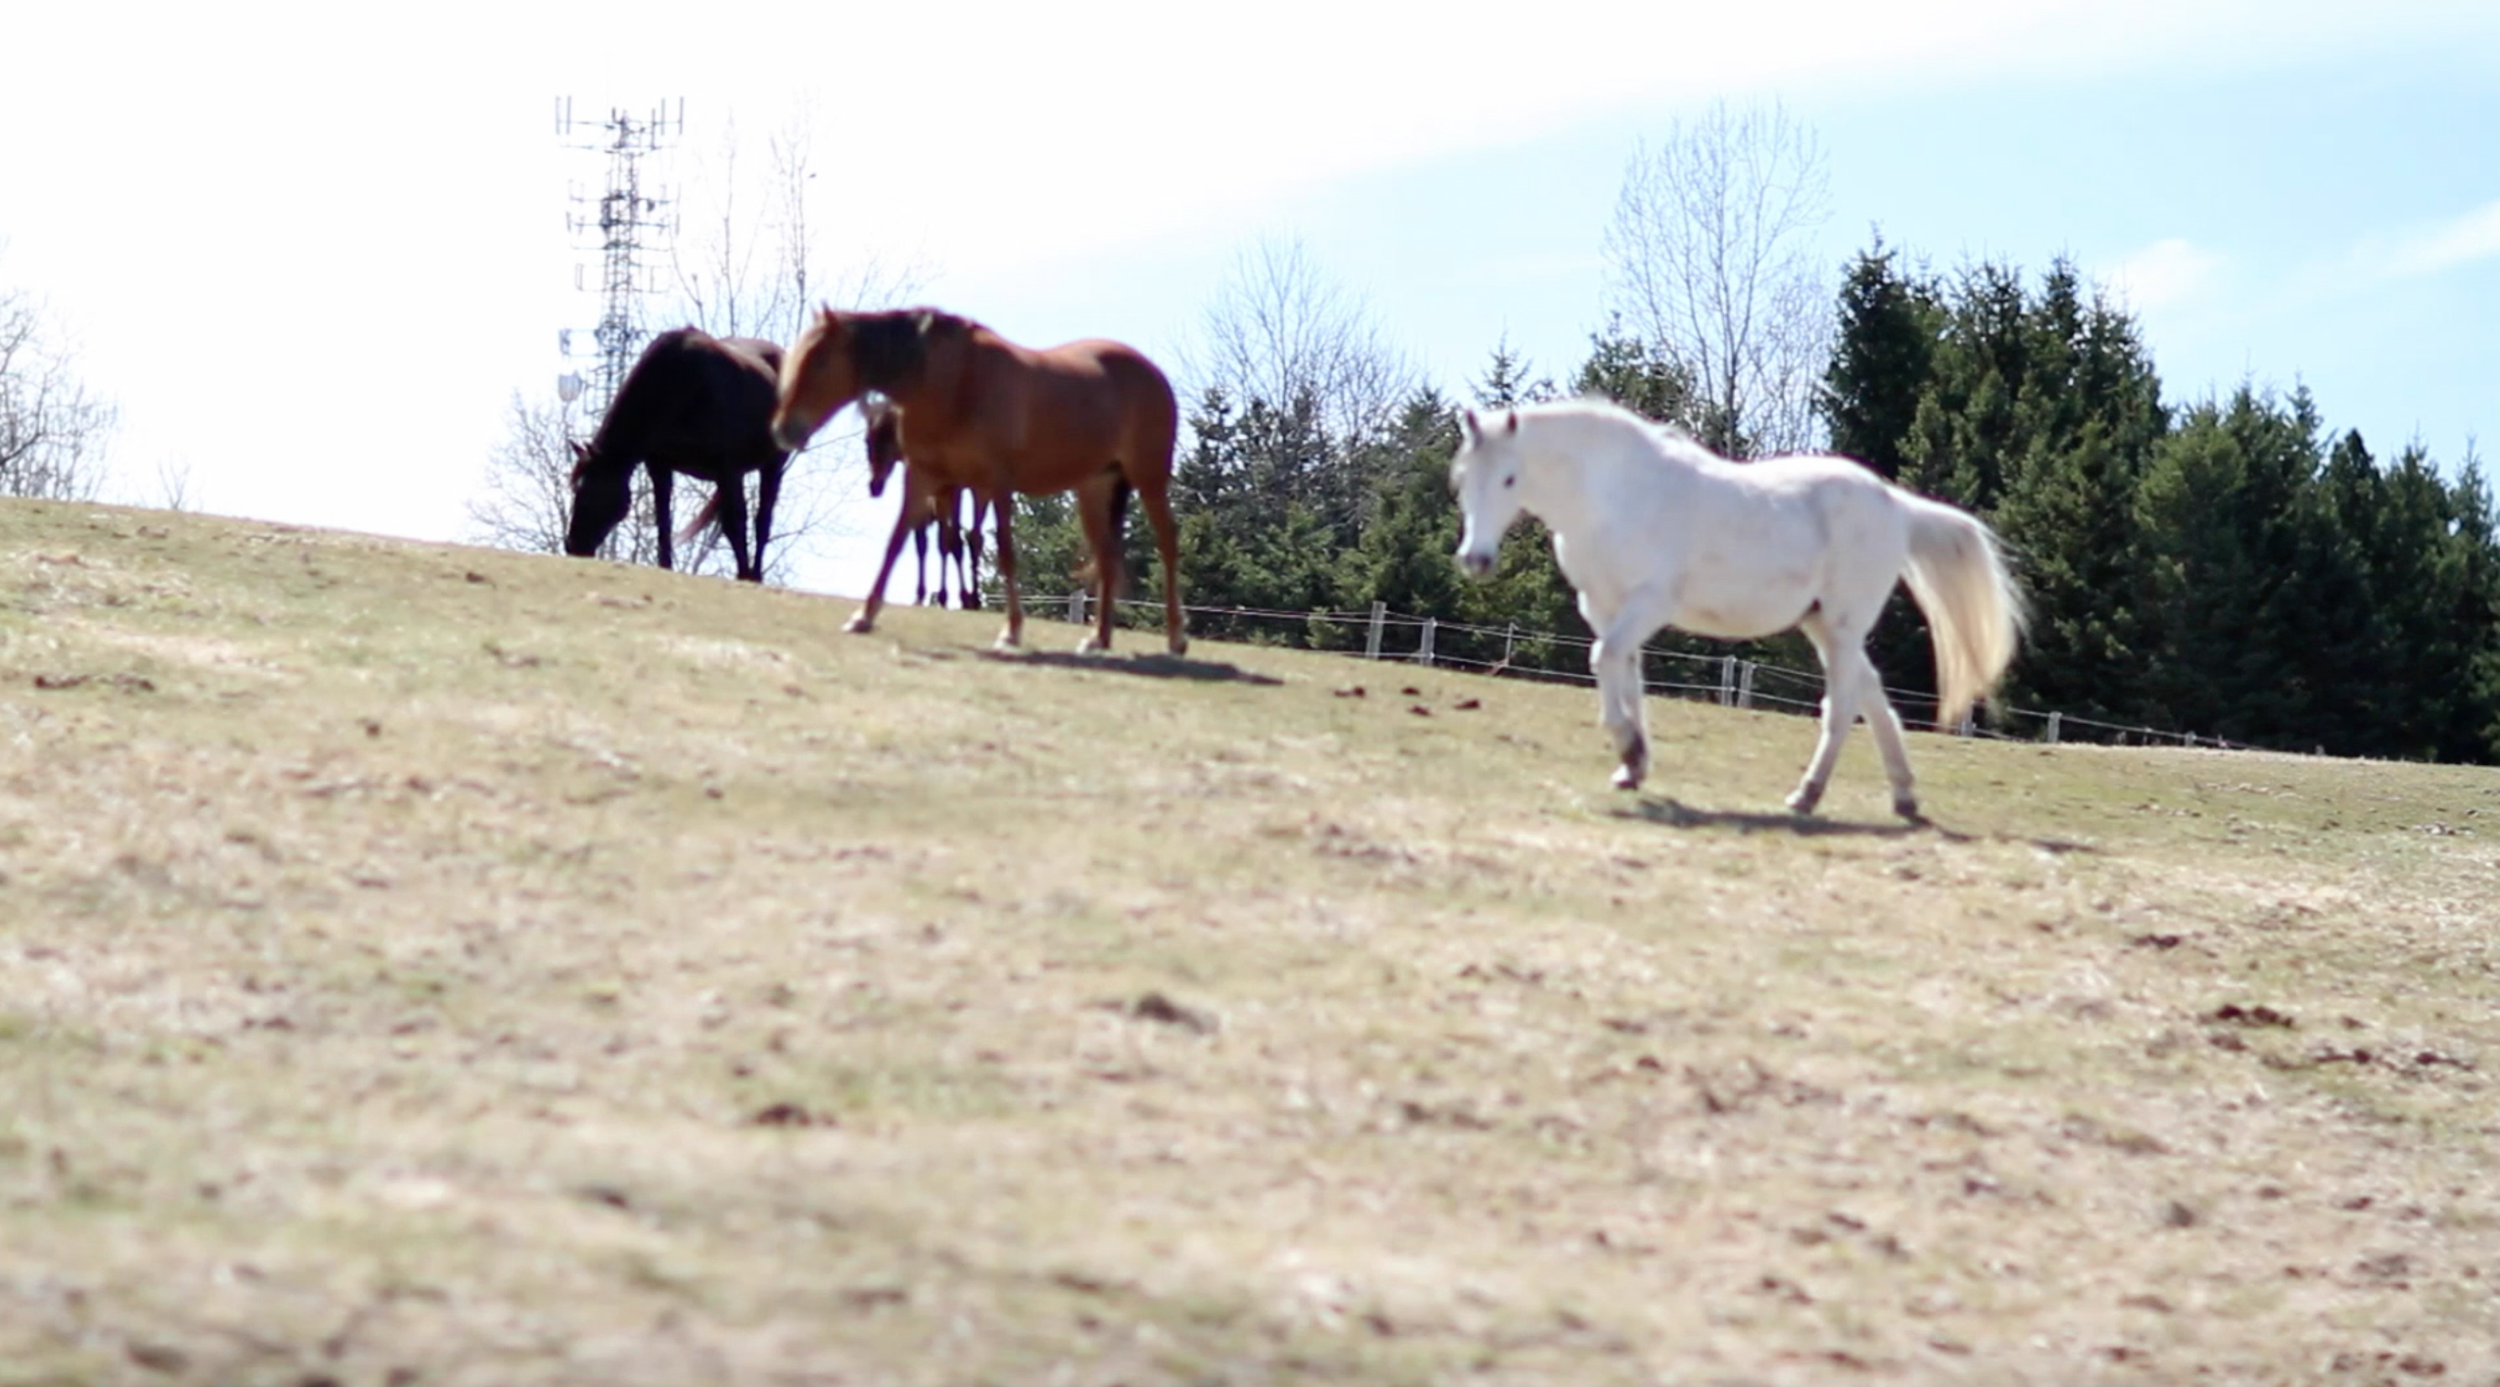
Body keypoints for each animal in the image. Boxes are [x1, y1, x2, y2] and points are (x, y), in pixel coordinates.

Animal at [565, 328, 792, 583]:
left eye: (592, 493)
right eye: (575, 490)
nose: (573, 545)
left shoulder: (727, 469)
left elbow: (735, 523)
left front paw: (744, 574)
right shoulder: (660, 466)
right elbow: (663, 520)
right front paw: (665, 566)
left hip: (772, 466)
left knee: (762, 521)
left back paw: (756, 574)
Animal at [863, 397, 987, 609]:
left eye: (890, 437)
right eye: (867, 440)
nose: (874, 486)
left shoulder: (953, 490)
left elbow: (954, 542)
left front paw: (962, 597)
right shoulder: (933, 494)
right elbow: (929, 543)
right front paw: (924, 595)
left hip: (977, 489)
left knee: (975, 538)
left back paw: (974, 598)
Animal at [1450, 400, 2024, 820]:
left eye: (1508, 478)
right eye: (1462, 480)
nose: (1476, 559)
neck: (1614, 496)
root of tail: (1894, 505)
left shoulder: (1647, 602)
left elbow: (1603, 659)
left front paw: (1630, 750)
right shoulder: (1603, 606)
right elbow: (1625, 674)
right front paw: (1633, 765)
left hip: (1842, 628)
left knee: (1841, 708)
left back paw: (1806, 796)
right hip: (1824, 625)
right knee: (1874, 698)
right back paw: (1903, 797)